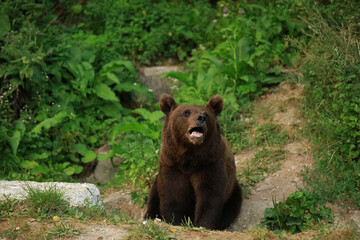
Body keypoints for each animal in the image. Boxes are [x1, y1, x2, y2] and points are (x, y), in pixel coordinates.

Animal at [144, 94, 242, 230]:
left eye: (206, 114)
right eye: (186, 112)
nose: (201, 118)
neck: (190, 158)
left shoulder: (210, 164)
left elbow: (210, 196)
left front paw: (202, 224)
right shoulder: (172, 166)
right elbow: (173, 195)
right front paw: (176, 221)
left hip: (233, 190)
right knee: (153, 198)